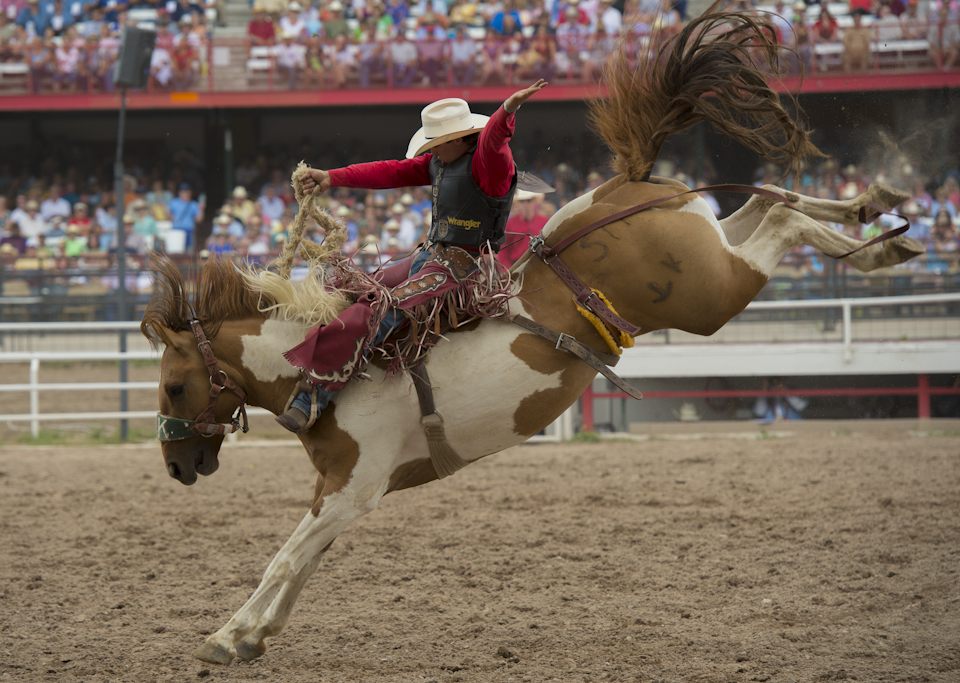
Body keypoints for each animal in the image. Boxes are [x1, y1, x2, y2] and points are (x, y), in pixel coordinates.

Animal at [141, 8, 924, 664]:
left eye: (174, 384)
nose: (177, 466)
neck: (324, 362)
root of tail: (629, 184)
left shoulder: (354, 486)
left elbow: (286, 555)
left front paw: (228, 634)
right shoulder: (338, 490)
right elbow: (304, 560)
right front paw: (255, 634)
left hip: (709, 293)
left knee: (782, 216)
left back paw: (876, 239)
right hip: (709, 251)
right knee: (771, 201)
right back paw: (874, 211)